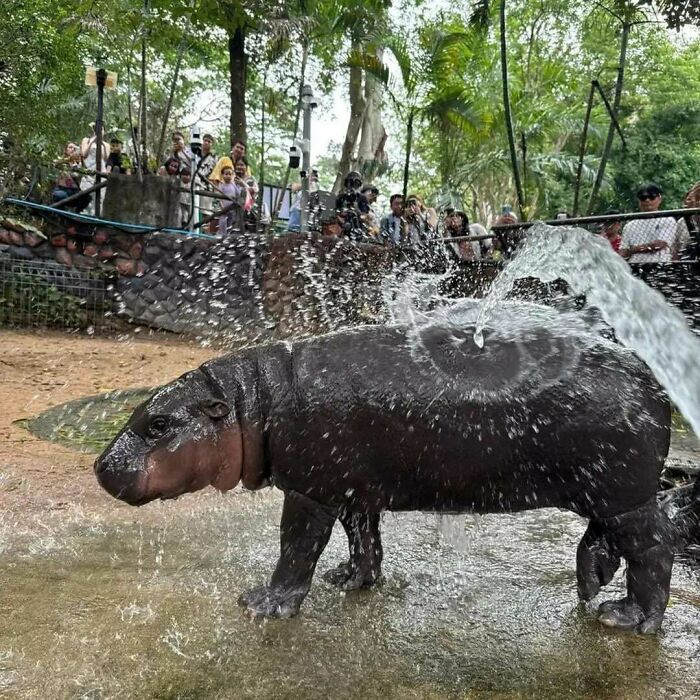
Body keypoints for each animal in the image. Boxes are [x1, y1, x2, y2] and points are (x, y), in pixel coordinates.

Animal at [95, 312, 676, 634]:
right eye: (140, 411)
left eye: (159, 424)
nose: (101, 466)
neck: (249, 402)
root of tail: (651, 378)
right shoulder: (355, 487)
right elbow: (363, 538)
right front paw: (351, 581)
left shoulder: (310, 490)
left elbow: (296, 547)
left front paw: (262, 605)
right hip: (605, 492)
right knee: (605, 538)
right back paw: (591, 586)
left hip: (627, 494)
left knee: (654, 549)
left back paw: (627, 620)